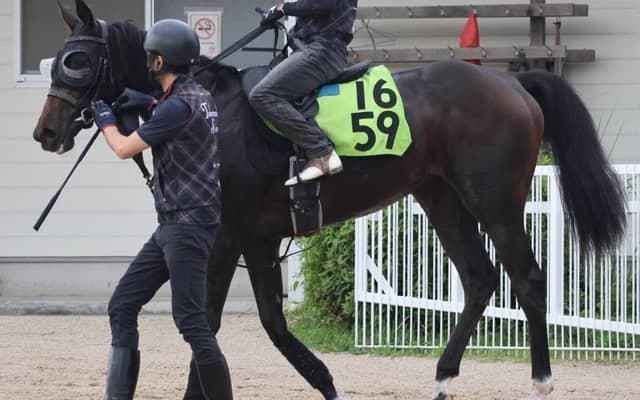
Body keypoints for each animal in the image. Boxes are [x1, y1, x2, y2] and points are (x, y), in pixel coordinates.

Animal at [32, 1, 627, 399]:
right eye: (58, 59)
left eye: (77, 60)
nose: (45, 132)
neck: (211, 108)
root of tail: (517, 86)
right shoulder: (257, 240)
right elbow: (264, 322)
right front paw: (324, 380)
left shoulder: (226, 236)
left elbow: (211, 321)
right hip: (440, 197)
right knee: (480, 279)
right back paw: (442, 376)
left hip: (495, 200)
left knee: (526, 278)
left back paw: (541, 379)